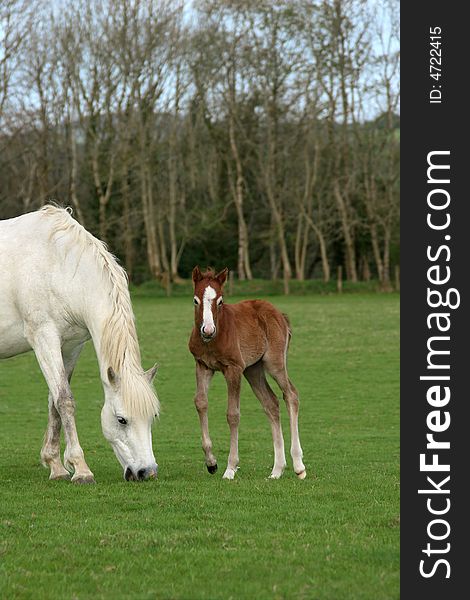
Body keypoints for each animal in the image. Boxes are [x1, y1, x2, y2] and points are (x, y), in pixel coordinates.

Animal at [0, 206, 160, 482]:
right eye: (121, 420)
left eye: (151, 418)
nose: (146, 472)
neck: (58, 266)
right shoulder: (44, 337)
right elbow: (64, 400)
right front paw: (81, 468)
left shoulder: (71, 346)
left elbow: (54, 402)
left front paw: (56, 465)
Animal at [189, 268, 306, 482]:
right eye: (195, 300)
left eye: (220, 301)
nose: (207, 330)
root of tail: (280, 314)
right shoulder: (203, 366)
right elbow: (200, 403)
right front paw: (211, 462)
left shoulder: (233, 369)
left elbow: (233, 414)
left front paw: (230, 467)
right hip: (253, 369)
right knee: (271, 403)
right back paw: (277, 469)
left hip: (274, 363)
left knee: (291, 395)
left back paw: (298, 466)